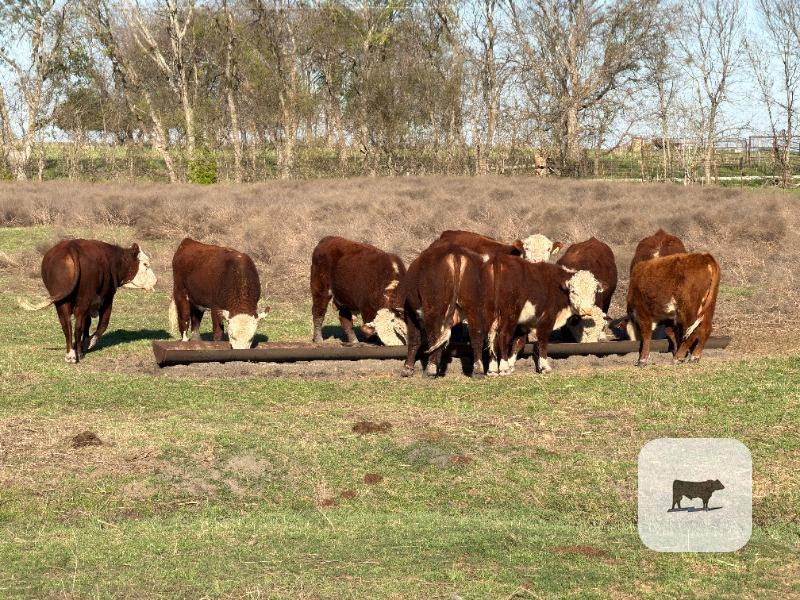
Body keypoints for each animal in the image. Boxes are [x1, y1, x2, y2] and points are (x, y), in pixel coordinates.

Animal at [18, 239, 156, 363]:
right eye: (145, 264)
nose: (155, 281)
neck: (114, 260)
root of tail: (70, 246)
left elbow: (87, 323)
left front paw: (82, 342)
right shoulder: (107, 298)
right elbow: (103, 323)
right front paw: (89, 342)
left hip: (61, 302)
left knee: (66, 325)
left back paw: (71, 354)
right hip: (83, 300)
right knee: (77, 326)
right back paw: (78, 354)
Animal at [397, 243, 488, 378]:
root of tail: (455, 251)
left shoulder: (410, 312)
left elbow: (414, 339)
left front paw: (407, 368)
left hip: (433, 308)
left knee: (434, 336)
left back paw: (430, 370)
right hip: (474, 306)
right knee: (476, 334)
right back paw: (478, 370)